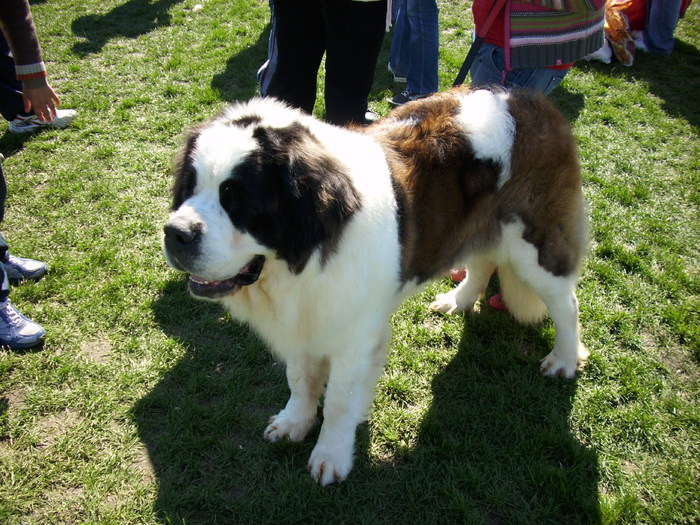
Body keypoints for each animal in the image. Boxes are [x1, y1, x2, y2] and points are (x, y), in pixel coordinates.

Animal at [164, 85, 592, 484]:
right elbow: (300, 378)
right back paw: (459, 299)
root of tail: (532, 99)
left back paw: (564, 359)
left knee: (566, 302)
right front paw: (295, 421)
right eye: (189, 188)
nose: (175, 233)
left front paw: (331, 456)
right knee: (483, 259)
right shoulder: (307, 317)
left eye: (239, 202)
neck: (308, 255)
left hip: (533, 245)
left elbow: (339, 401)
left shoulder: (355, 338)